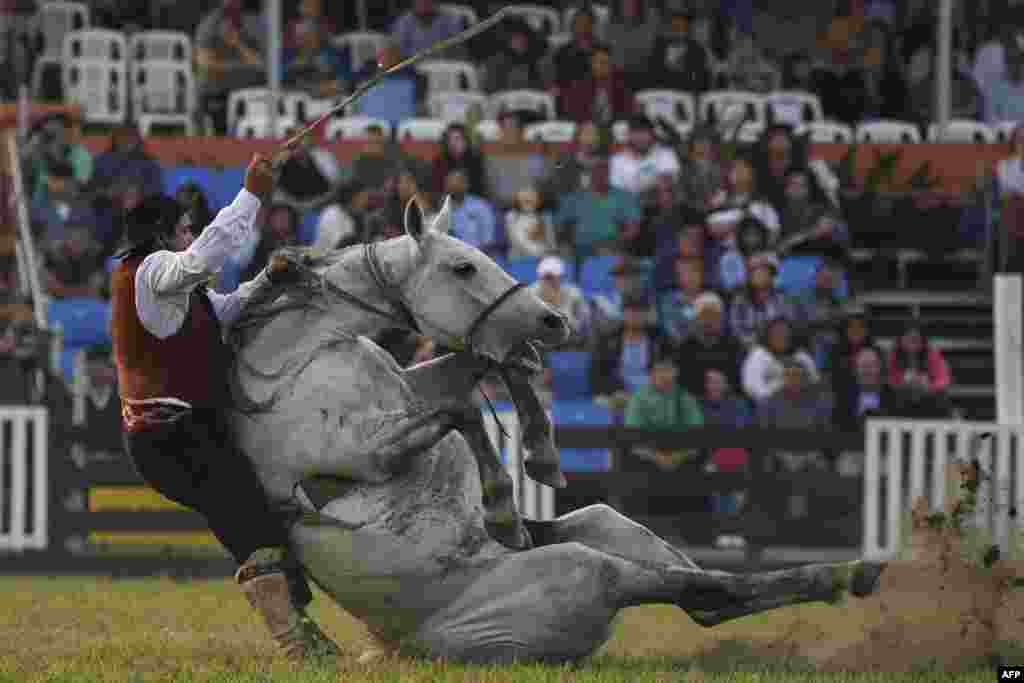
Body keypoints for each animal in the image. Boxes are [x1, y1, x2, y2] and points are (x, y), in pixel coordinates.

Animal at [228, 200, 884, 663]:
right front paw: (500, 508)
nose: (553, 320)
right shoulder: (357, 450)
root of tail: (403, 650)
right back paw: (846, 574)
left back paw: (839, 575)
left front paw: (541, 452)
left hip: (607, 523)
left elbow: (490, 371)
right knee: (697, 593)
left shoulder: (413, 389)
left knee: (702, 592)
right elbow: (464, 412)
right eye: (462, 264)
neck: (297, 357)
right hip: (584, 571)